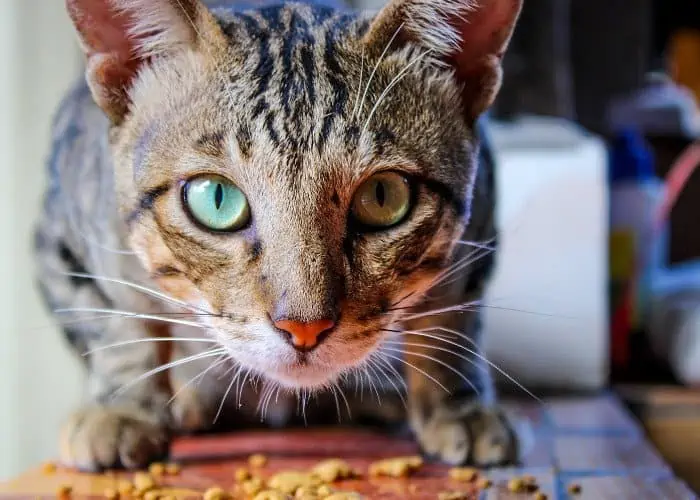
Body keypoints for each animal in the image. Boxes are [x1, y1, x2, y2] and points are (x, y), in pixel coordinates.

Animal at [34, 0, 524, 470]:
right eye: (216, 199)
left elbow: (453, 322)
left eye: (384, 196)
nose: (304, 327)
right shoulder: (63, 243)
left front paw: (457, 405)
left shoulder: (479, 221)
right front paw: (123, 409)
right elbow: (116, 324)